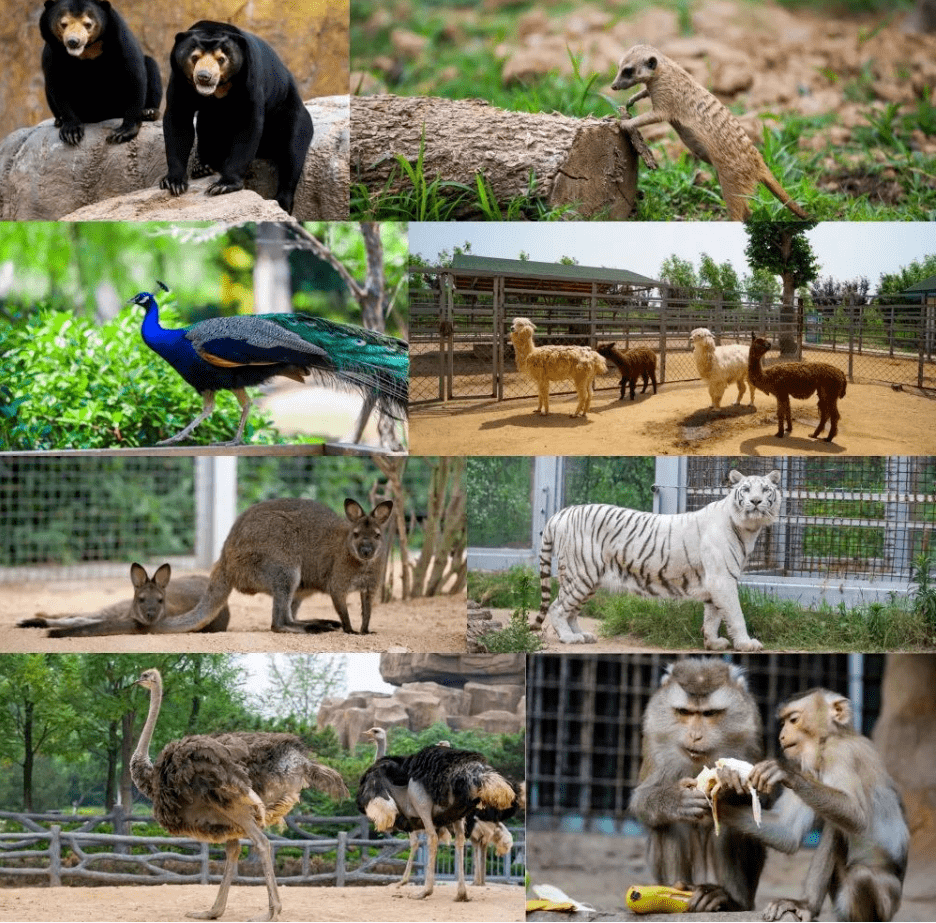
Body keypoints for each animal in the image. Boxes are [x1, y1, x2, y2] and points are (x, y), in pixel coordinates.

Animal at [38, 0, 161, 144]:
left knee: (151, 65)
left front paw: (122, 133)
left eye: (88, 24)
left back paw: (149, 112)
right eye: (63, 24)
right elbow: (57, 85)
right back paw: (59, 120)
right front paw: (71, 132)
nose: (73, 42)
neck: (87, 50)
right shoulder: (52, 51)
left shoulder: (119, 37)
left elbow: (135, 76)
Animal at [162, 24, 314, 216]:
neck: (218, 91)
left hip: (289, 112)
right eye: (194, 57)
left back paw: (282, 201)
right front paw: (174, 182)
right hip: (211, 119)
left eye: (221, 59)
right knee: (208, 129)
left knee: (292, 150)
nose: (204, 77)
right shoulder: (180, 81)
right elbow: (178, 119)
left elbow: (248, 124)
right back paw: (202, 168)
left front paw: (222, 186)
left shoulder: (249, 78)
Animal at [532, 470, 784, 648]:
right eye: (746, 489)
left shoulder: (715, 582)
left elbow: (713, 617)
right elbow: (735, 614)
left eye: (765, 490)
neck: (748, 528)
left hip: (587, 579)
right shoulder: (722, 579)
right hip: (581, 574)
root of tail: (560, 514)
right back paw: (568, 638)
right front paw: (746, 643)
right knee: (557, 607)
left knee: (571, 610)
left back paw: (582, 635)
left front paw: (713, 643)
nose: (755, 501)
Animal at [628, 660, 768, 912]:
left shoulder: (750, 737)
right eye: (684, 712)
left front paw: (729, 785)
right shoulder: (654, 739)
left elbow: (759, 806)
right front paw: (675, 800)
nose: (694, 736)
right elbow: (641, 800)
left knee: (732, 827)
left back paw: (727, 900)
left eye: (709, 714)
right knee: (668, 825)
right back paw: (678, 890)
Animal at [716, 688, 908, 920]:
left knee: (858, 867)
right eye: (783, 722)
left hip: (888, 900)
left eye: (793, 720)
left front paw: (786, 772)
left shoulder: (840, 752)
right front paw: (713, 801)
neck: (828, 741)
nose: (781, 736)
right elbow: (787, 831)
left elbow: (857, 816)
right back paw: (807, 905)